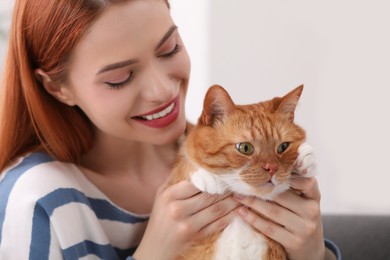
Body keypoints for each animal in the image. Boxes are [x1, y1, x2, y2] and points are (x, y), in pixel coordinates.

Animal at [169, 84, 316, 258]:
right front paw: (207, 176)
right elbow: (183, 163)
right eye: (245, 148)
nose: (272, 168)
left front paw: (305, 157)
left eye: (283, 147)